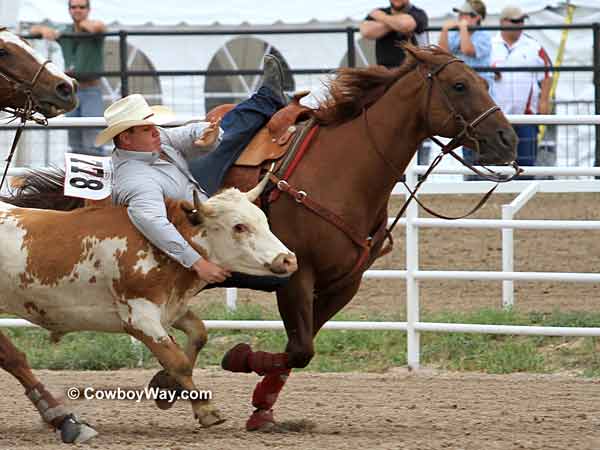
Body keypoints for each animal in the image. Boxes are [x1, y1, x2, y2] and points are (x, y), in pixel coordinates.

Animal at [2, 44, 516, 432]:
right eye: (459, 85)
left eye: (484, 81)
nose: (507, 140)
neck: (341, 172)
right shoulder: (296, 277)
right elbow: (299, 347)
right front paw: (236, 361)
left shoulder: (342, 284)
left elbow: (300, 349)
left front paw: (256, 403)